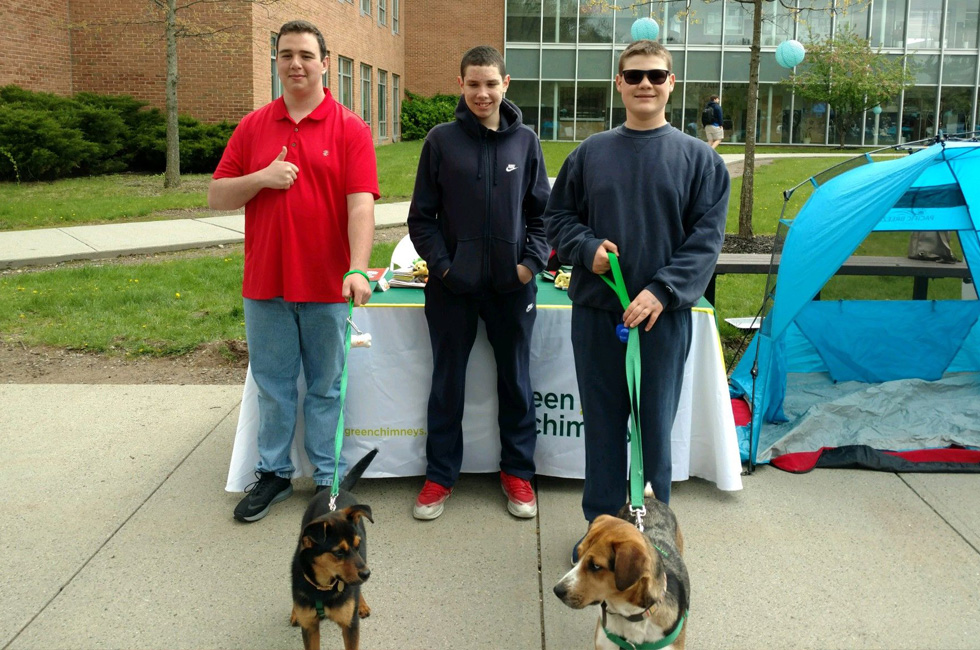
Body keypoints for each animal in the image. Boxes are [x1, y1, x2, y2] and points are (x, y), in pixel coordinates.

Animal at [290, 448, 378, 648]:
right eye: (338, 552)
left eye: (357, 546)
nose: (367, 574)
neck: (323, 586)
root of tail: (338, 489)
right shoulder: (309, 627)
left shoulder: (350, 625)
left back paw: (360, 604)